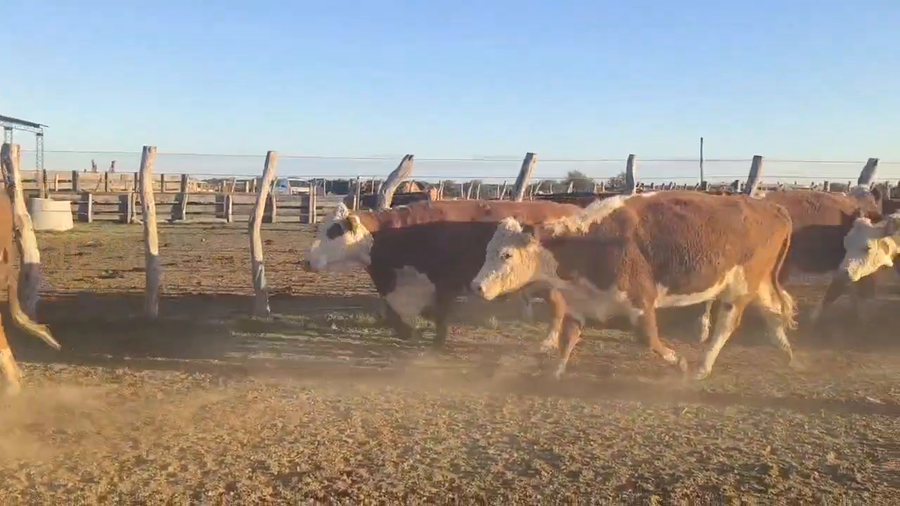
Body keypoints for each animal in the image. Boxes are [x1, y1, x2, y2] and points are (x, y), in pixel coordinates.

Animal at [303, 199, 584, 346]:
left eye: (334, 231)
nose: (306, 261)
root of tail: (572, 210)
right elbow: (396, 315)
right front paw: (409, 333)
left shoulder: (446, 282)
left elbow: (440, 315)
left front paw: (437, 343)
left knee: (559, 308)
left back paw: (548, 341)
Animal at [470, 191, 798, 380]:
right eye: (486, 250)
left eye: (506, 254)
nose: (477, 287)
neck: (588, 243)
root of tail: (774, 208)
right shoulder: (579, 303)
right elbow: (568, 338)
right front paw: (556, 371)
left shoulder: (641, 301)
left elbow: (648, 339)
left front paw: (679, 362)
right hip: (758, 282)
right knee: (773, 311)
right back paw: (788, 355)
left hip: (740, 285)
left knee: (727, 323)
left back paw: (702, 367)